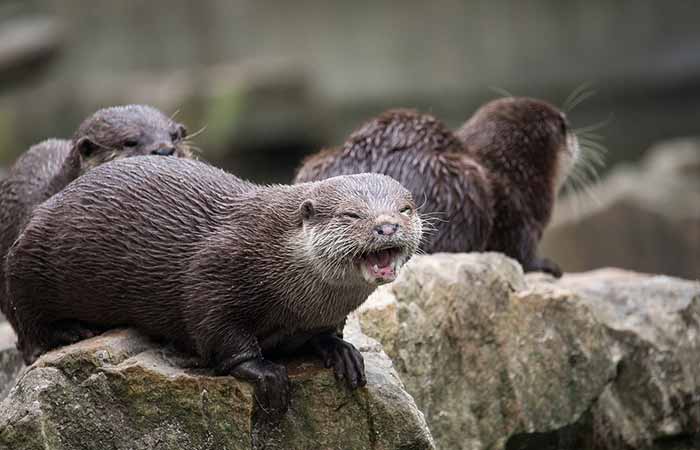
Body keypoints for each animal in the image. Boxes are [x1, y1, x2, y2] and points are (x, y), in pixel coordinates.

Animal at [6, 156, 422, 416]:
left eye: (405, 209)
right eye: (351, 214)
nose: (387, 226)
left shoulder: (324, 314)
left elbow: (326, 333)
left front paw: (340, 350)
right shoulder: (216, 272)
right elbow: (216, 329)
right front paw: (266, 373)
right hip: (28, 261)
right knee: (26, 324)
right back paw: (69, 332)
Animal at [296, 96, 580, 276]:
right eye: (564, 126)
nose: (576, 139)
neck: (515, 171)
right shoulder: (520, 210)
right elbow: (521, 252)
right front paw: (547, 265)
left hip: (314, 163)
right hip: (464, 185)